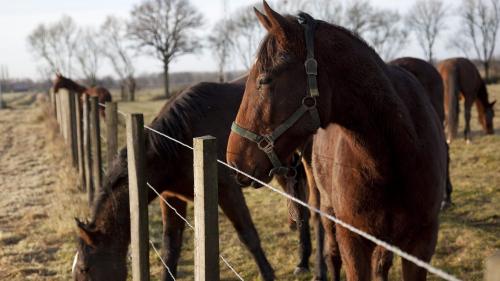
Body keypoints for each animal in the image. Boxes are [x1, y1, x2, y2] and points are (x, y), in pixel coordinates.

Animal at [227, 2, 446, 280]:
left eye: (264, 79)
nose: (234, 161)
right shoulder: (352, 239)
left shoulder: (421, 244)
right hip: (328, 209)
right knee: (331, 253)